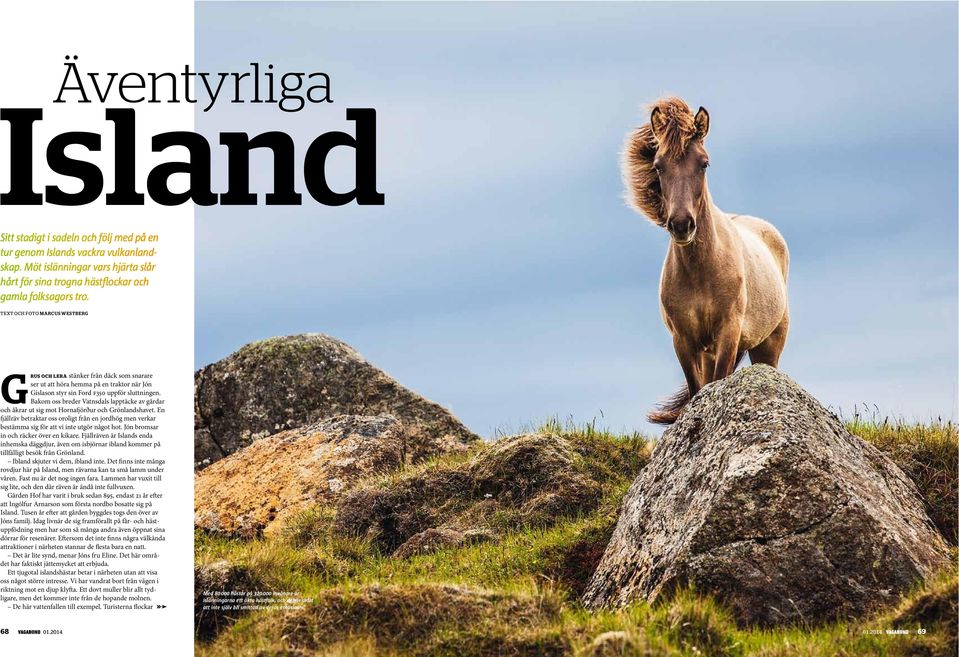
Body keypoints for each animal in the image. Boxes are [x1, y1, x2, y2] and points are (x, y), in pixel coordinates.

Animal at [628, 98, 792, 426]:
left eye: (704, 163)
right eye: (658, 165)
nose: (681, 225)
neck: (701, 272)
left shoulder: (727, 334)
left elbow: (715, 385)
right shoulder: (684, 341)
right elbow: (697, 390)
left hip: (769, 344)